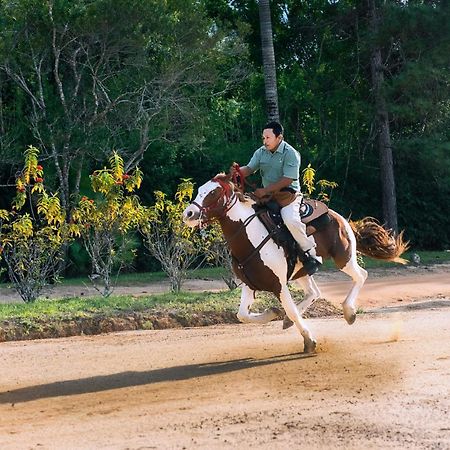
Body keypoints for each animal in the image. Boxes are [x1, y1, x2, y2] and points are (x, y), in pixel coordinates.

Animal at [182, 174, 408, 354]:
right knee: (315, 292)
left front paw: (309, 340)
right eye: (200, 190)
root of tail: (339, 217)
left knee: (361, 276)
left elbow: (289, 309)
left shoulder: (278, 285)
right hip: (302, 272)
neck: (250, 236)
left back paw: (349, 312)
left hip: (344, 258)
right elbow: (242, 315)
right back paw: (291, 320)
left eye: (213, 192)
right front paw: (273, 313)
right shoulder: (250, 284)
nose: (188, 214)